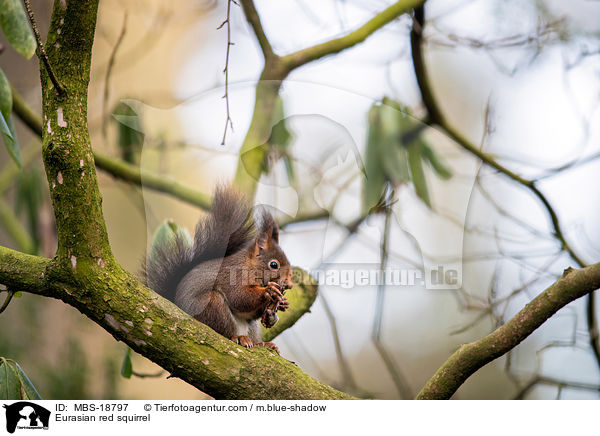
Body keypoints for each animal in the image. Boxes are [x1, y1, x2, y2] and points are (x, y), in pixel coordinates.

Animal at [141, 186, 290, 352]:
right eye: (274, 265)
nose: (289, 284)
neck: (249, 266)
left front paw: (281, 304)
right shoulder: (233, 276)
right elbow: (239, 297)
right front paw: (269, 291)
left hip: (249, 326)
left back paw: (261, 343)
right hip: (211, 305)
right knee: (224, 331)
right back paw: (239, 338)